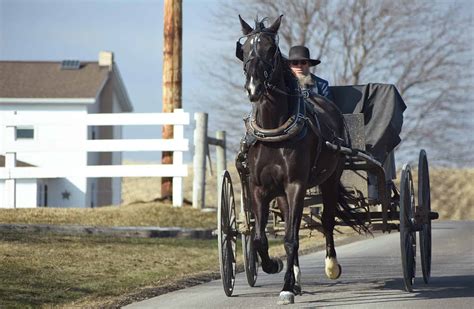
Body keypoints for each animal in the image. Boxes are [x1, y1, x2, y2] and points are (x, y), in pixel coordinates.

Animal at [237, 15, 366, 304]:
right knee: (291, 226)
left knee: (327, 220)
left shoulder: (296, 185)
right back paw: (295, 279)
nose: (253, 87)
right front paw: (274, 266)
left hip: (329, 180)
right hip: (283, 194)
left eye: (271, 49)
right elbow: (261, 237)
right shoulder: (259, 188)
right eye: (245, 50)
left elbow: (290, 239)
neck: (274, 129)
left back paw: (330, 266)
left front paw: (285, 287)